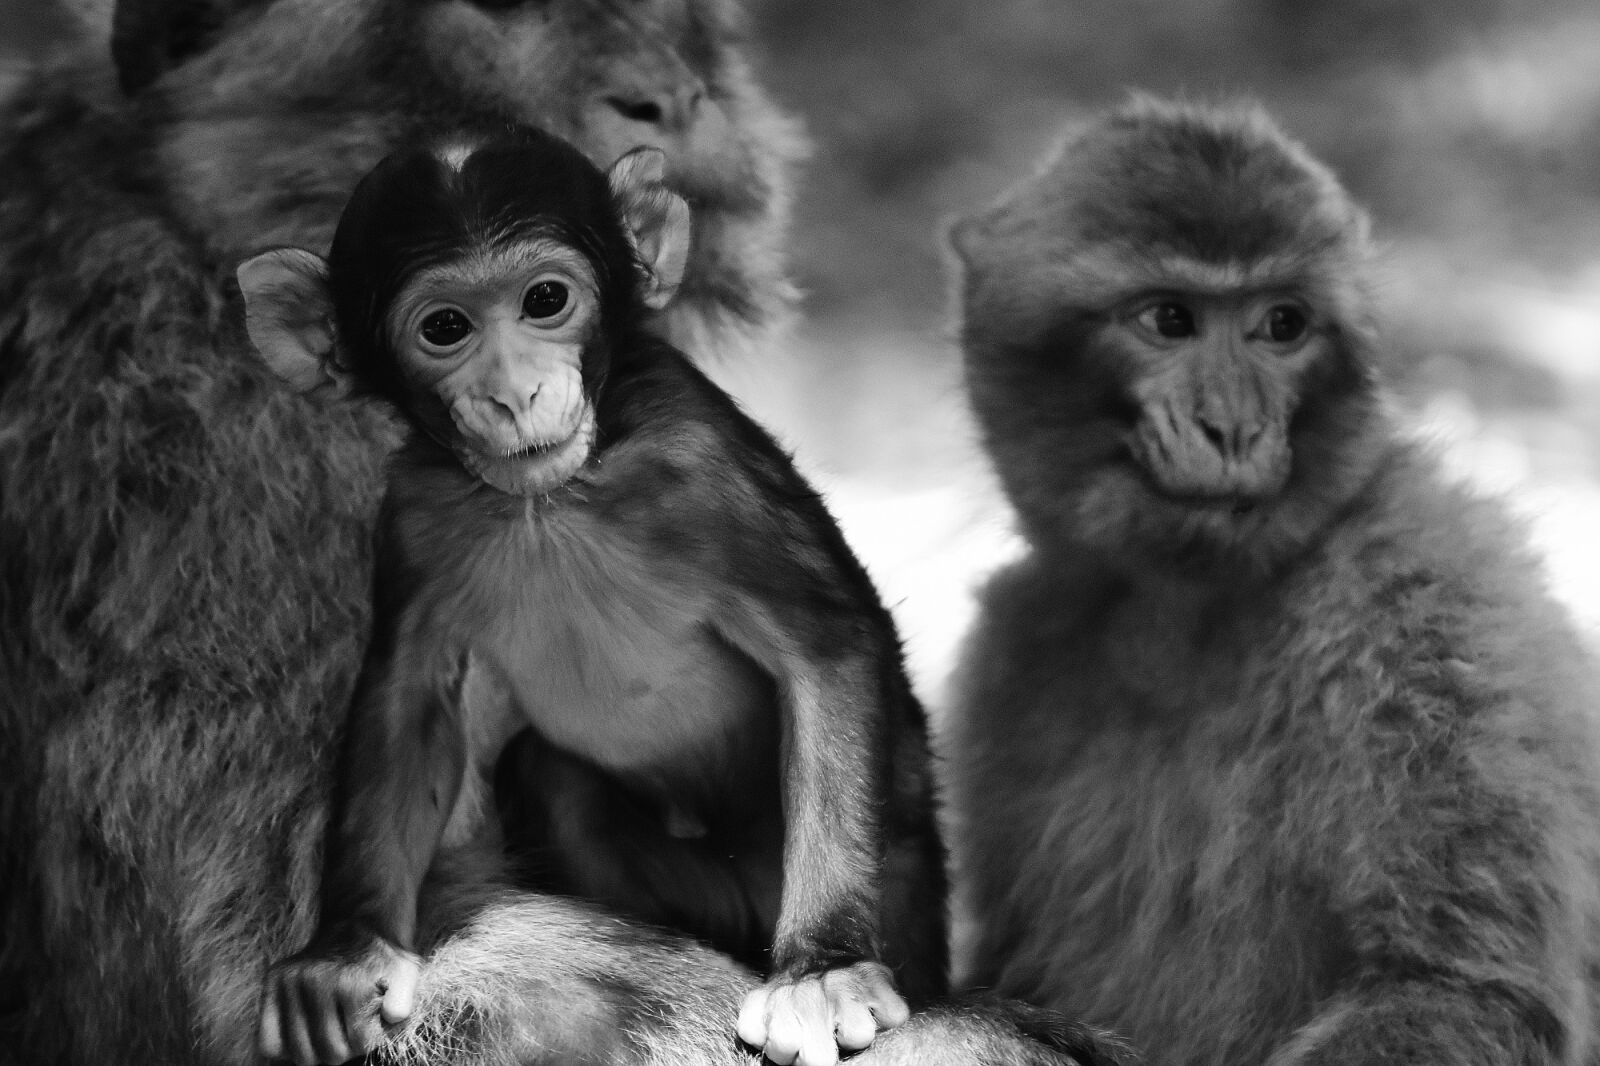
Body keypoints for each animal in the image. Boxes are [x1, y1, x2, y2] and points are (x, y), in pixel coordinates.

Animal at [236, 125, 941, 1066]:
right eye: (446, 327)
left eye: (545, 300)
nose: (515, 392)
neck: (554, 501)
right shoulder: (414, 514)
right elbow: (408, 704)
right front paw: (345, 955)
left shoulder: (703, 462)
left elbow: (825, 646)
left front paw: (822, 971)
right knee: (553, 778)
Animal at [942, 96, 1600, 1066]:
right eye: (1170, 319)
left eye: (1282, 325)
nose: (1232, 427)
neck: (1187, 610)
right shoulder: (1011, 652)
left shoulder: (1434, 604)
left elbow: (1464, 994)